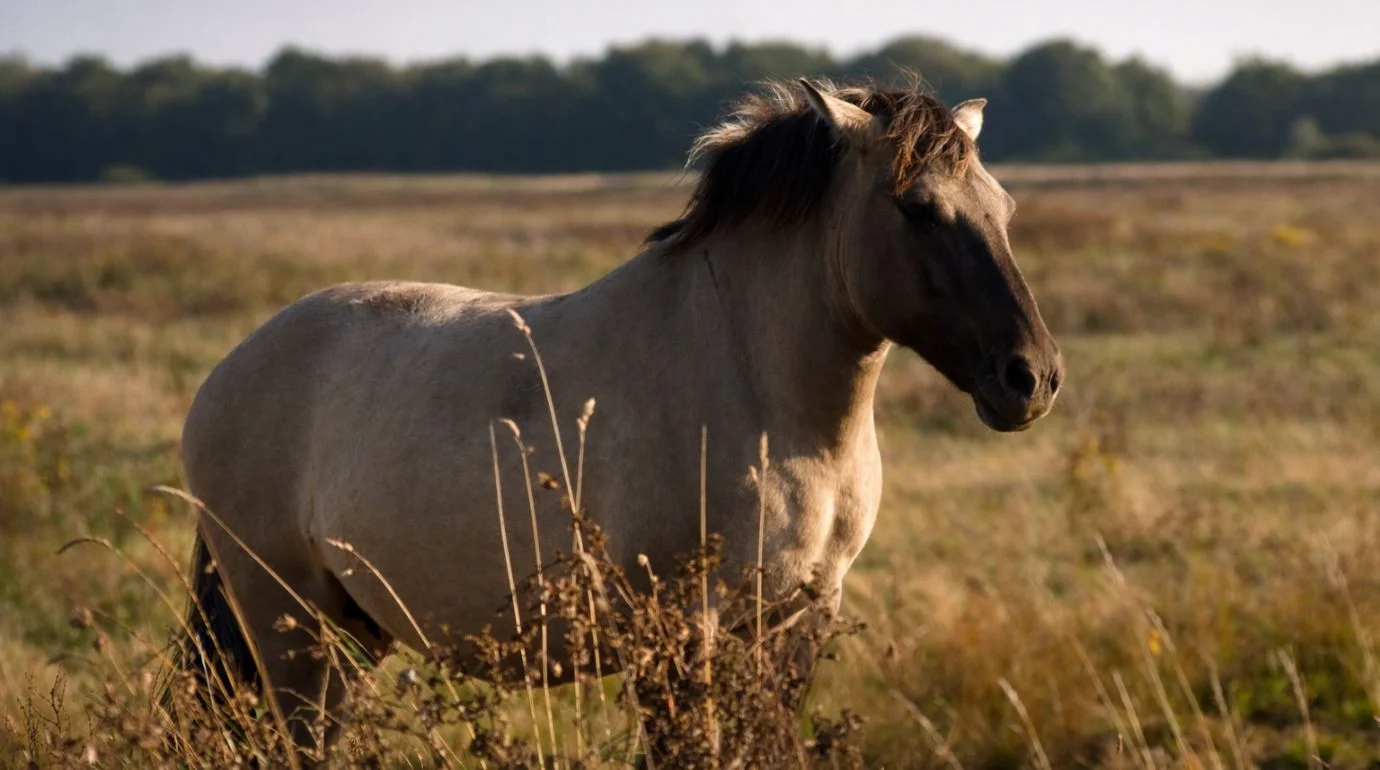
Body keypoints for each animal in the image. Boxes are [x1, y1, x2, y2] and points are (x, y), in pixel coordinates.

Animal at [176, 78, 1064, 756]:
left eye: (1005, 207)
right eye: (917, 207)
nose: (1032, 378)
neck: (765, 402)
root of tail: (226, 375)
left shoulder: (796, 621)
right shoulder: (677, 633)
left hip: (350, 630)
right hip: (288, 625)